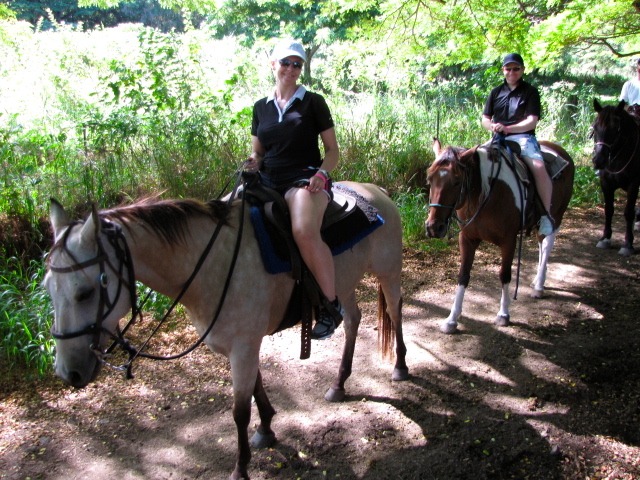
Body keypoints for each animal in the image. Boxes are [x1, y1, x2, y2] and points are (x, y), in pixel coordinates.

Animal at [45, 181, 408, 480]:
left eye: (85, 292)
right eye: (48, 287)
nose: (67, 372)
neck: (207, 266)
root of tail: (377, 192)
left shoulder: (243, 346)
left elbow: (239, 411)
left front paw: (241, 468)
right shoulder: (242, 344)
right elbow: (256, 388)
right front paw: (266, 428)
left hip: (388, 272)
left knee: (394, 311)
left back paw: (400, 367)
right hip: (344, 283)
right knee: (353, 320)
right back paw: (339, 383)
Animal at [424, 139, 576, 334]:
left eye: (457, 182)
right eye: (430, 180)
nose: (434, 227)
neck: (486, 196)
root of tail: (560, 150)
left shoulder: (509, 241)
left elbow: (504, 275)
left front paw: (503, 314)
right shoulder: (467, 239)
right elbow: (463, 275)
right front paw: (451, 319)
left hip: (556, 216)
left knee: (547, 244)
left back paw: (539, 286)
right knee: (541, 244)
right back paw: (536, 281)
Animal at [592, 97, 640, 255]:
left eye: (615, 129)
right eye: (595, 127)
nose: (598, 160)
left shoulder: (634, 183)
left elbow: (628, 212)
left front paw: (628, 244)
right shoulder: (606, 183)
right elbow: (609, 210)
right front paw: (605, 238)